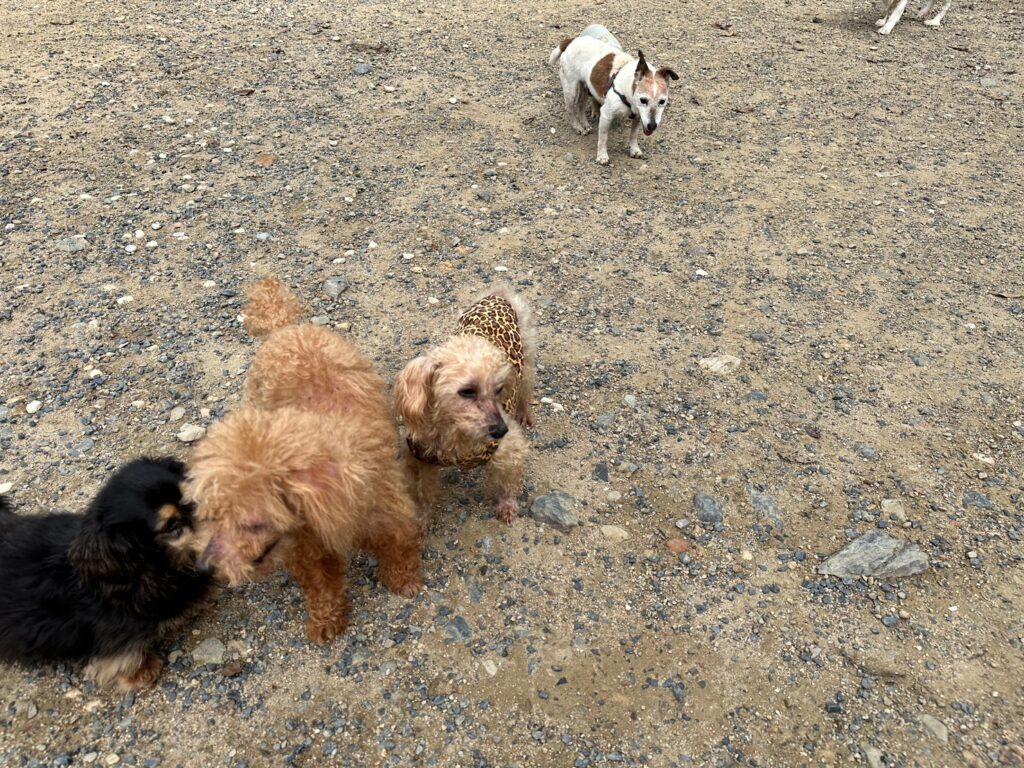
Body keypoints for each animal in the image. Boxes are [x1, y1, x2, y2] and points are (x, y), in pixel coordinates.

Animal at [187, 279, 424, 645]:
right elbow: (319, 585)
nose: (204, 567)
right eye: (213, 514)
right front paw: (327, 621)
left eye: (252, 524)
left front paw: (404, 581)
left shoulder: (388, 515)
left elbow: (399, 549)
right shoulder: (305, 548)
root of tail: (284, 328)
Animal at [394, 286, 536, 525]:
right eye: (467, 391)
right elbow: (423, 492)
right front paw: (422, 518)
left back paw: (523, 411)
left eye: (498, 390)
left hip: (525, 358)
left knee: (525, 387)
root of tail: (497, 296)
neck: (454, 431)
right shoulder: (419, 460)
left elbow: (507, 480)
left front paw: (507, 505)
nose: (501, 430)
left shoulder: (508, 448)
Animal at [550, 28, 678, 164]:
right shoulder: (606, 115)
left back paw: (585, 125)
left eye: (662, 101)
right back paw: (577, 127)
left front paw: (634, 149)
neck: (628, 92)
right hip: (571, 89)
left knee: (580, 106)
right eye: (643, 100)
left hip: (585, 87)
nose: (652, 126)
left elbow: (633, 135)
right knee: (570, 109)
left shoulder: (639, 118)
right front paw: (602, 156)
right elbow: (603, 138)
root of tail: (571, 40)